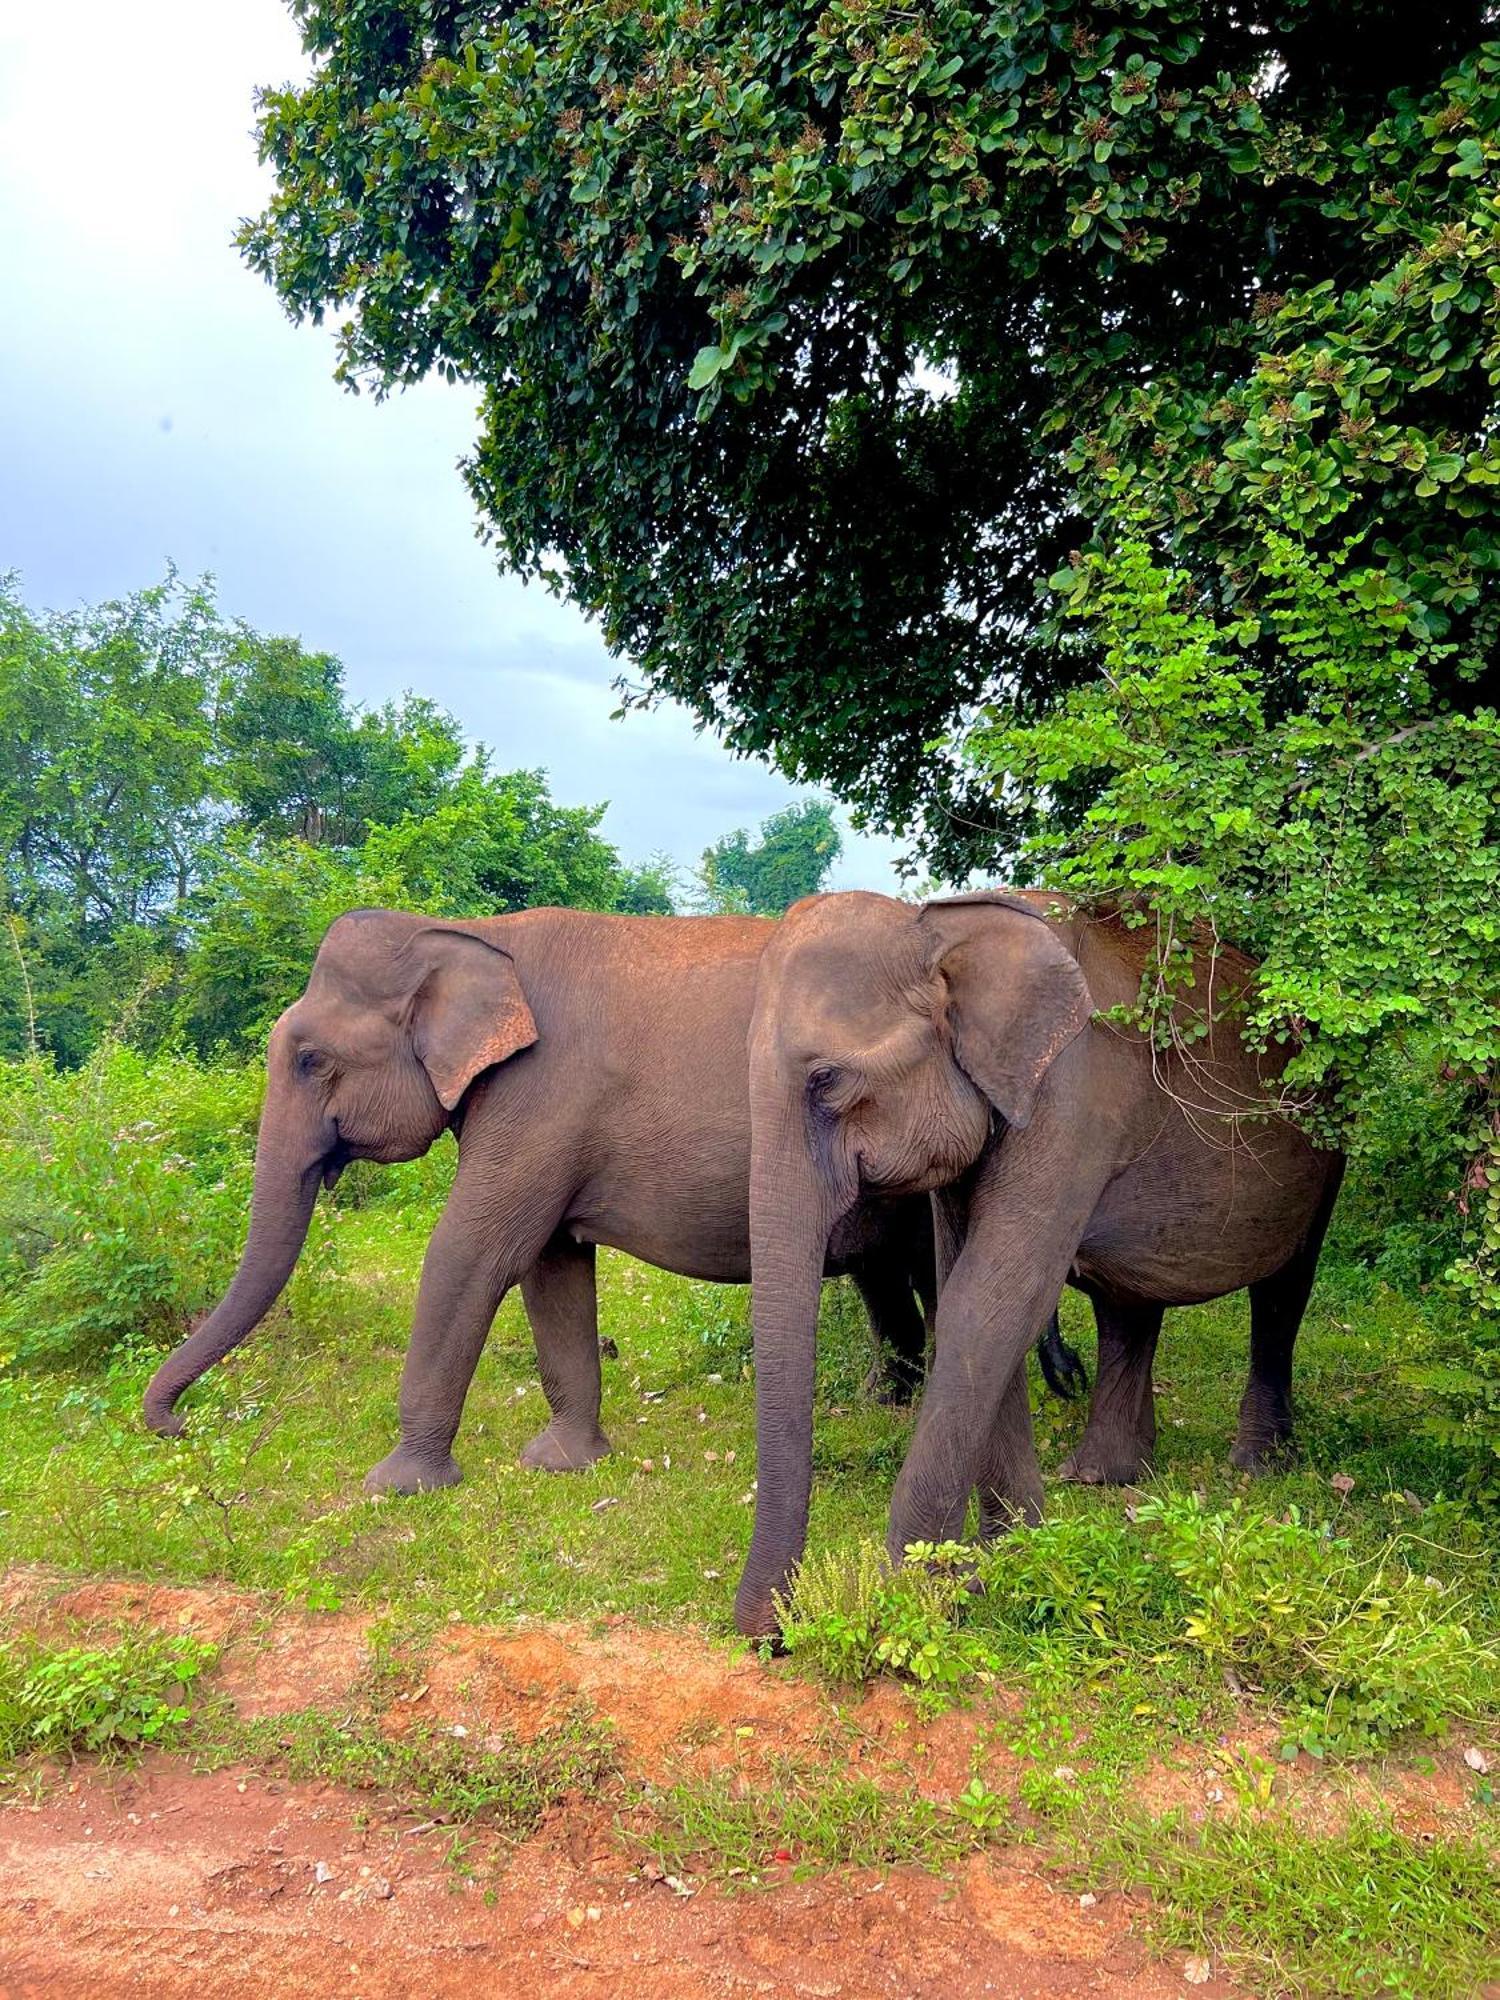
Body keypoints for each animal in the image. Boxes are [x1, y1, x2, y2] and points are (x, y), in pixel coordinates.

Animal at [141, 900, 1088, 1480]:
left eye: (309, 1059)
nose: (174, 1425)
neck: (468, 934)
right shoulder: (545, 1124)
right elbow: (551, 1267)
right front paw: (564, 1463)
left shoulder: (538, 1100)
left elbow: (474, 1251)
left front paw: (397, 1484)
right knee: (891, 1276)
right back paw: (887, 1406)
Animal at [736, 892, 1344, 1640]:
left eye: (827, 1079)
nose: (774, 1637)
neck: (941, 928)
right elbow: (973, 1289)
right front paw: (1008, 1555)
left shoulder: (1073, 1096)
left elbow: (988, 1301)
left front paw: (920, 1597)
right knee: (1127, 1306)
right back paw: (1104, 1477)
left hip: (1327, 1143)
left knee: (1285, 1290)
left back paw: (1255, 1466)